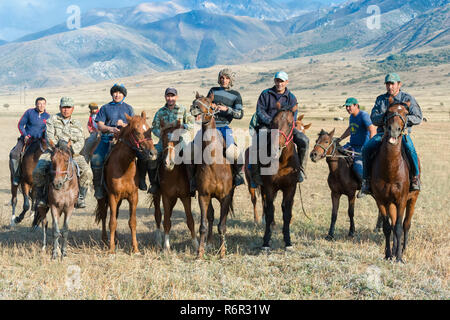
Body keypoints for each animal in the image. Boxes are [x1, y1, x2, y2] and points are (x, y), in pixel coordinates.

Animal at [95, 111, 158, 254]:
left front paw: (135, 249)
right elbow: (112, 222)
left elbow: (132, 222)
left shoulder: (133, 197)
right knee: (104, 215)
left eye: (149, 129)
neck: (123, 166)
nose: (153, 153)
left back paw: (116, 239)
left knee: (115, 215)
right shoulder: (112, 196)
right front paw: (111, 250)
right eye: (136, 131)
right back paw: (105, 240)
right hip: (103, 198)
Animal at [152, 119, 198, 251]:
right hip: (157, 195)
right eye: (163, 139)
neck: (174, 174)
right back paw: (158, 240)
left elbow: (190, 221)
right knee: (158, 215)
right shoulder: (166, 197)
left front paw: (196, 244)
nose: (169, 163)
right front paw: (166, 246)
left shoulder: (185, 197)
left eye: (178, 139)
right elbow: (166, 221)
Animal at [191, 91, 236, 258]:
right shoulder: (204, 195)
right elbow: (203, 225)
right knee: (210, 216)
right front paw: (200, 254)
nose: (194, 108)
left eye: (210, 104)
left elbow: (222, 226)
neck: (213, 164)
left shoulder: (225, 197)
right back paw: (209, 243)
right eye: (195, 101)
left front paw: (222, 253)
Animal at [258, 102, 300, 250]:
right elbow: (270, 211)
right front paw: (266, 241)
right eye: (272, 123)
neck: (282, 162)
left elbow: (287, 213)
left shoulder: (290, 188)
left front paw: (288, 241)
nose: (275, 149)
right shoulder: (269, 187)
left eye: (290, 123)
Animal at [370, 98, 420, 262]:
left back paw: (403, 249)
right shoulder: (381, 200)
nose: (394, 130)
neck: (390, 171)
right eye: (389, 112)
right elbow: (387, 227)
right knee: (392, 225)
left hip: (412, 199)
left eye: (405, 113)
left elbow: (398, 227)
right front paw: (388, 254)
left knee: (406, 224)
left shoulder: (402, 199)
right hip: (390, 203)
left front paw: (399, 257)